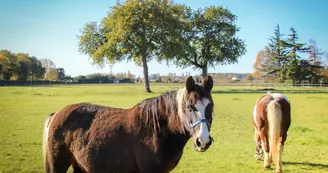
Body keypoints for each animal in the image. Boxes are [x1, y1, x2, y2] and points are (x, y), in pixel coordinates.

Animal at [42, 76, 214, 173]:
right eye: (190, 107)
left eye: (210, 106)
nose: (203, 141)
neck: (157, 129)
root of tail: (56, 115)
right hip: (56, 166)